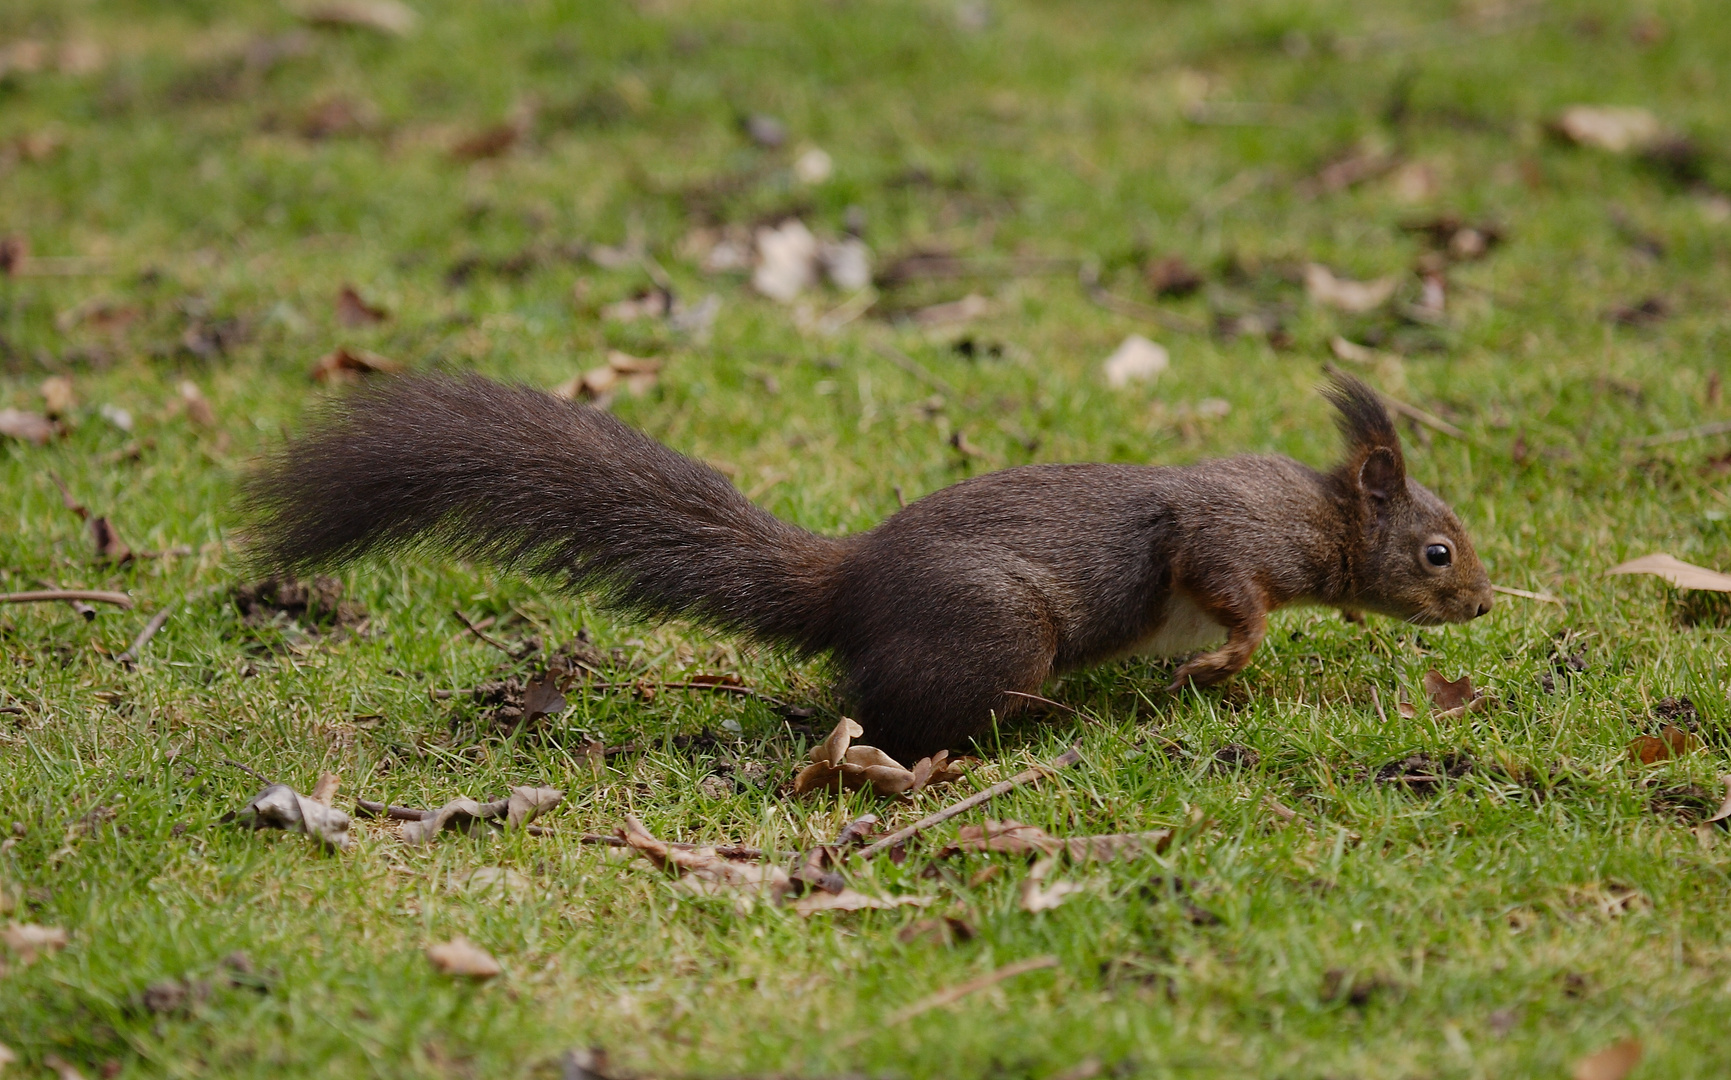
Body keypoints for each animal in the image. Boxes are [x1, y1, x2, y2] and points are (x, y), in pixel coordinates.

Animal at [240, 370, 1488, 758]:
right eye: (1437, 551)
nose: (1479, 603)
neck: (1320, 519)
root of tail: (849, 590)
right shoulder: (1225, 536)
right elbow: (1232, 600)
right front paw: (1223, 664)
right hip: (999, 631)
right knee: (903, 714)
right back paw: (1040, 721)